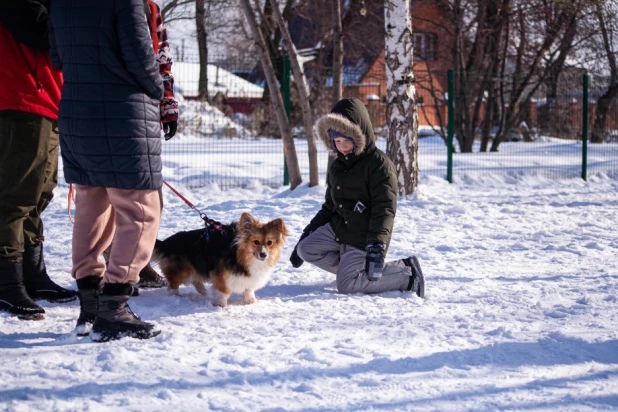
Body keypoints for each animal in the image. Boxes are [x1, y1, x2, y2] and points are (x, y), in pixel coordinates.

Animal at [154, 212, 288, 306]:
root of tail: (166, 243)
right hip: (182, 272)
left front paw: (250, 300)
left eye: (269, 242)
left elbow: (248, 288)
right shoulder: (221, 275)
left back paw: (203, 291)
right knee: (172, 285)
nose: (263, 255)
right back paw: (176, 297)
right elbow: (223, 290)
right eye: (256, 241)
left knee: (195, 280)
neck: (241, 256)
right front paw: (220, 304)